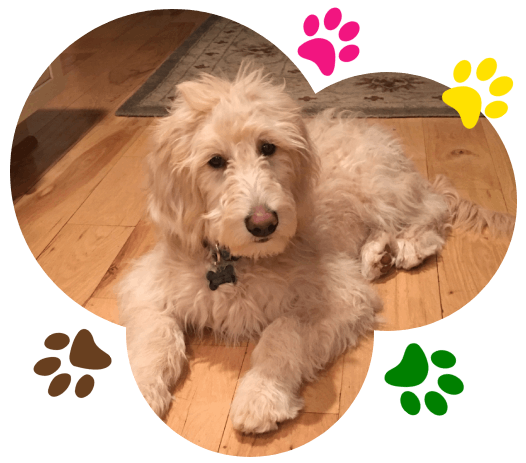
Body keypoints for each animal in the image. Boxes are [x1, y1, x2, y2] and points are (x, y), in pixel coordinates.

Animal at [118, 63, 516, 434]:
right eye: (215, 161)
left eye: (268, 147)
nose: (264, 223)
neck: (238, 260)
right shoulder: (147, 288)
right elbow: (153, 338)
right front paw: (146, 385)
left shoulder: (339, 294)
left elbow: (282, 332)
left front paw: (260, 397)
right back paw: (377, 256)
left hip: (381, 191)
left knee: (432, 213)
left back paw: (408, 247)